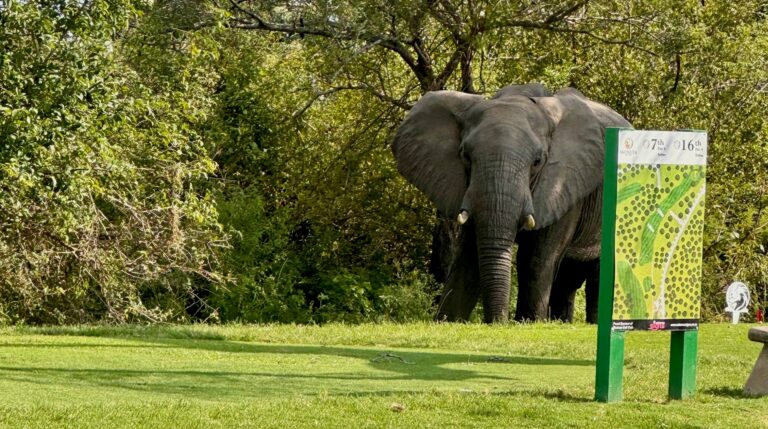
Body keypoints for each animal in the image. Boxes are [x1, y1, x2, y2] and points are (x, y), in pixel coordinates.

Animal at [392, 84, 631, 323]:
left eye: (537, 161)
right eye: (465, 156)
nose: (497, 322)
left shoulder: (565, 184)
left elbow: (536, 258)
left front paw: (529, 322)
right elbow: (469, 257)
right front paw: (449, 321)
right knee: (568, 278)